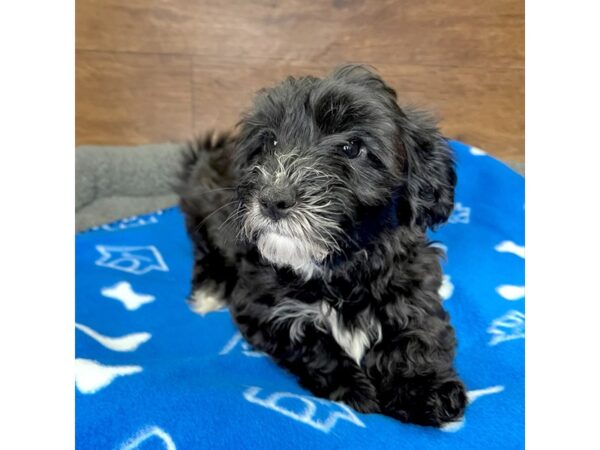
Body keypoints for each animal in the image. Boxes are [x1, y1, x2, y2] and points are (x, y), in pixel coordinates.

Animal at [178, 63, 468, 426]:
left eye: (351, 148)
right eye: (270, 141)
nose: (273, 199)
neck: (339, 269)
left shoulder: (414, 281)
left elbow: (418, 331)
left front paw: (426, 388)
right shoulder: (261, 303)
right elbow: (310, 343)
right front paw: (357, 391)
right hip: (208, 215)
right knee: (204, 247)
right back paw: (209, 289)